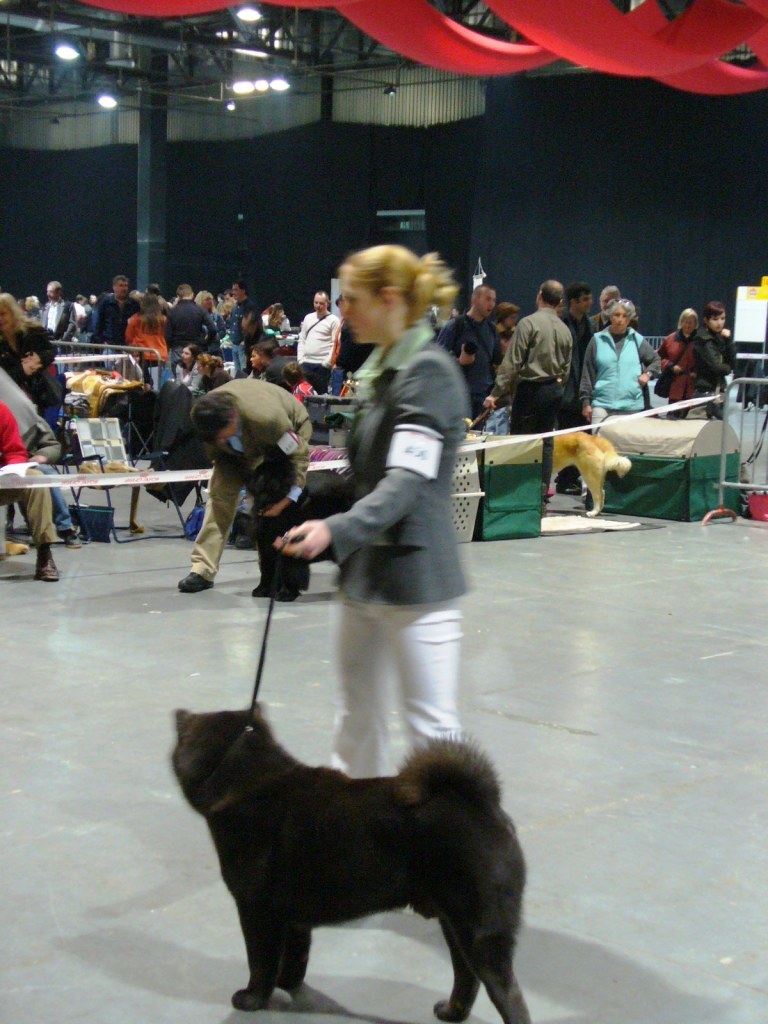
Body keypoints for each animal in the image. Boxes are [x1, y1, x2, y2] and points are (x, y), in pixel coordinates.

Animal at [172, 706, 531, 1024]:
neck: (248, 780)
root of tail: (484, 806)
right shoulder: (294, 919)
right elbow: (295, 958)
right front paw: (288, 984)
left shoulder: (256, 911)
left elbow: (260, 962)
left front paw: (252, 999)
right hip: (454, 925)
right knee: (466, 976)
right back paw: (451, 1012)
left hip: (480, 933)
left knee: (507, 994)